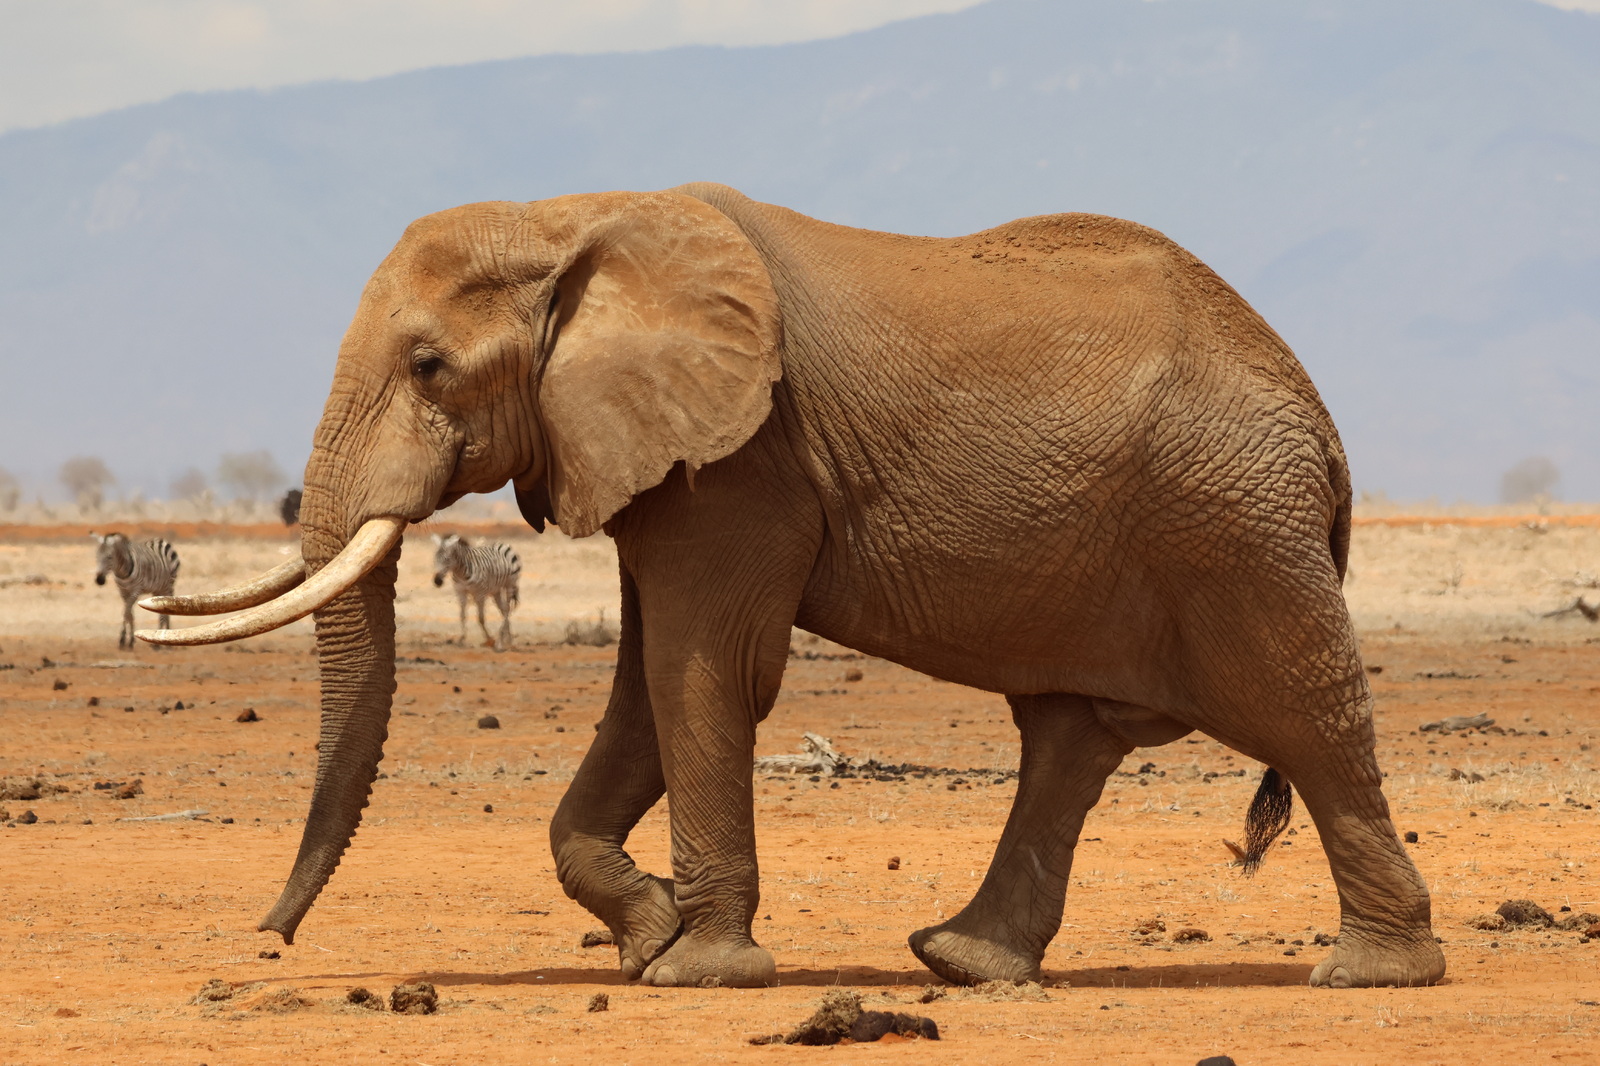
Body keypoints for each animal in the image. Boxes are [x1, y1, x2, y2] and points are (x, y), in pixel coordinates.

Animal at [138, 183, 1445, 991]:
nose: (268, 940)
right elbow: (644, 683)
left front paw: (694, 967)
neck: (574, 216)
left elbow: (704, 671)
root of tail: (1322, 426)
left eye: (427, 366)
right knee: (1069, 741)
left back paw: (1367, 972)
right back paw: (961, 963)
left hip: (1235, 529)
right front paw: (647, 930)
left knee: (1308, 723)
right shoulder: (666, 463)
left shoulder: (745, 461)